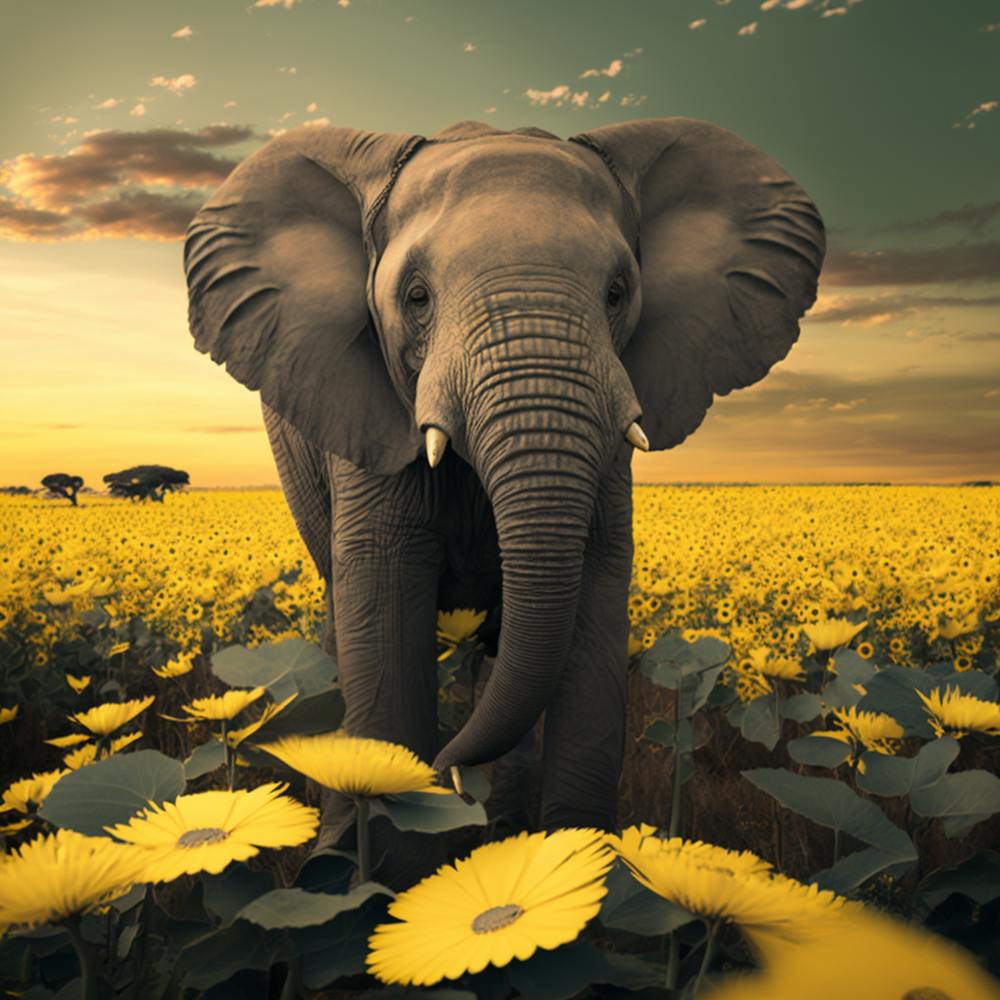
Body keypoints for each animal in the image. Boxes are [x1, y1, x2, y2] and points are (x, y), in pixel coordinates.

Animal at [184, 117, 824, 880]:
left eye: (617, 293)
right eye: (417, 299)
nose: (451, 775)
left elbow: (593, 601)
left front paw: (579, 874)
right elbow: (381, 601)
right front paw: (389, 876)